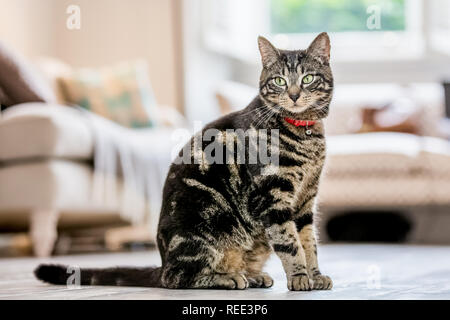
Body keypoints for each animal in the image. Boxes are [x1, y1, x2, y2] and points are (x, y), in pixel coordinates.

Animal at [36, 32, 334, 290]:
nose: (294, 95)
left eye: (307, 78)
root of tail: (162, 261)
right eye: (279, 81)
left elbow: (309, 242)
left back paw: (251, 275)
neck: (304, 135)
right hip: (204, 223)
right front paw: (299, 277)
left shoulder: (306, 199)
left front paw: (315, 275)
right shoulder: (272, 196)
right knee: (178, 278)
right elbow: (289, 243)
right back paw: (228, 278)